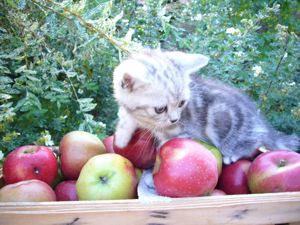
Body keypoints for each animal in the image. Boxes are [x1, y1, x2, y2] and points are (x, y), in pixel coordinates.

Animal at [113, 49, 300, 164]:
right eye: (160, 109)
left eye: (182, 103)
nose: (175, 119)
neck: (145, 118)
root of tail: (260, 122)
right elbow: (126, 115)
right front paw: (121, 137)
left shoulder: (184, 130)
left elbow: (169, 140)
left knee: (253, 142)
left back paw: (233, 154)